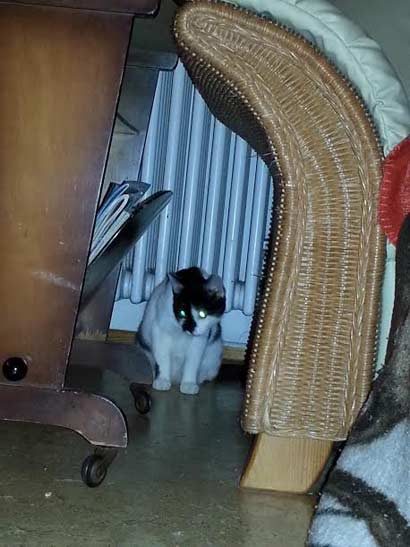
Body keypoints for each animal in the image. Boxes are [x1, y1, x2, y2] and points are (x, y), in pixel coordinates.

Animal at [137, 266, 226, 395]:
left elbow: (193, 361)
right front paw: (162, 380)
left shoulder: (200, 339)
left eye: (202, 314)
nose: (190, 329)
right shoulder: (159, 330)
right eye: (182, 313)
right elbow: (162, 357)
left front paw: (189, 383)